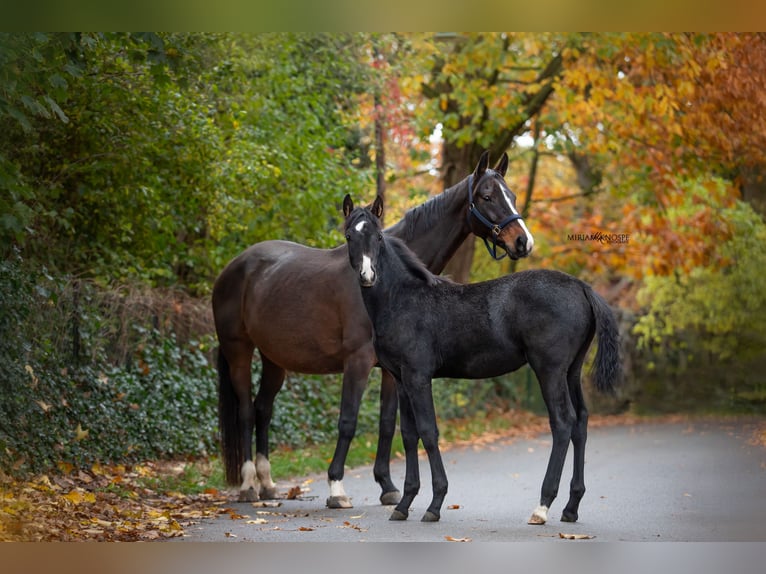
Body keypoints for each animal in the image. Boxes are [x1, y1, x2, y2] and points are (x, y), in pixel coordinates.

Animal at [212, 150, 534, 507]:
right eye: (487, 196)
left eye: (512, 195)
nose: (523, 241)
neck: (389, 283)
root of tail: (233, 267)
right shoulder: (358, 361)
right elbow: (348, 421)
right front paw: (337, 487)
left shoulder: (392, 369)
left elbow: (387, 423)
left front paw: (388, 486)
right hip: (239, 351)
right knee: (245, 410)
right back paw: (248, 485)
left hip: (274, 359)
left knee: (263, 409)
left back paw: (267, 483)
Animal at [342, 194, 621, 524]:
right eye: (349, 236)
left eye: (378, 236)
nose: (367, 276)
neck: (402, 299)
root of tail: (582, 287)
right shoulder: (401, 378)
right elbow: (409, 435)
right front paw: (404, 504)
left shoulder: (418, 376)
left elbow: (429, 432)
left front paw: (435, 504)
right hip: (571, 371)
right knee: (581, 422)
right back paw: (570, 507)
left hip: (549, 370)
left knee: (563, 423)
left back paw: (542, 506)